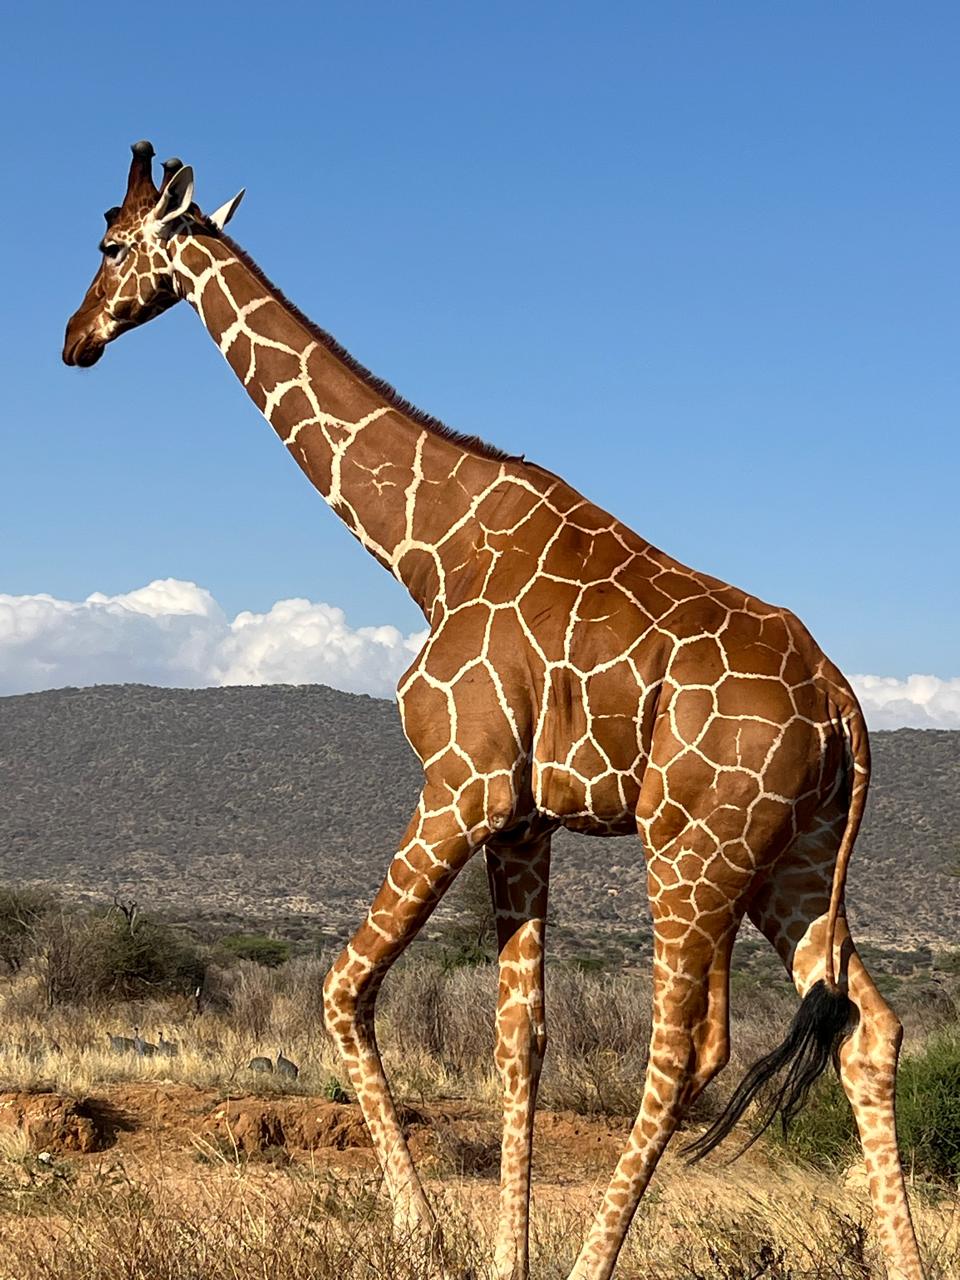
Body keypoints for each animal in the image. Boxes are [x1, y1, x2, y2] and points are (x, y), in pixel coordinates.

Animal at [62, 143, 926, 1280]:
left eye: (111, 244)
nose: (75, 341)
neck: (426, 547)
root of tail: (845, 707)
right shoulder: (525, 817)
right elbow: (523, 1040)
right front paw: (497, 1254)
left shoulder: (459, 785)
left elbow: (344, 986)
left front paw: (421, 1228)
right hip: (797, 861)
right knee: (870, 1029)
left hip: (694, 849)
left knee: (689, 1047)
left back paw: (593, 1261)